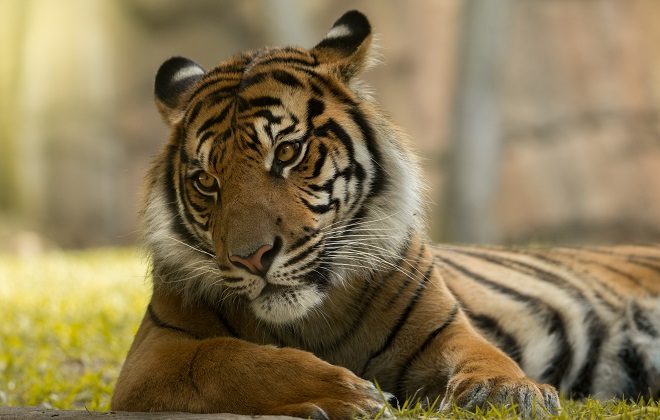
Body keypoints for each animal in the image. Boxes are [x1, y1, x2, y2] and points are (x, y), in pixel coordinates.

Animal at [111, 10, 660, 419]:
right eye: (206, 181)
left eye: (287, 152)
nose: (252, 258)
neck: (315, 316)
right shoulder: (154, 354)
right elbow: (228, 360)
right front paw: (344, 394)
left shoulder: (445, 330)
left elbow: (486, 355)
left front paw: (509, 392)